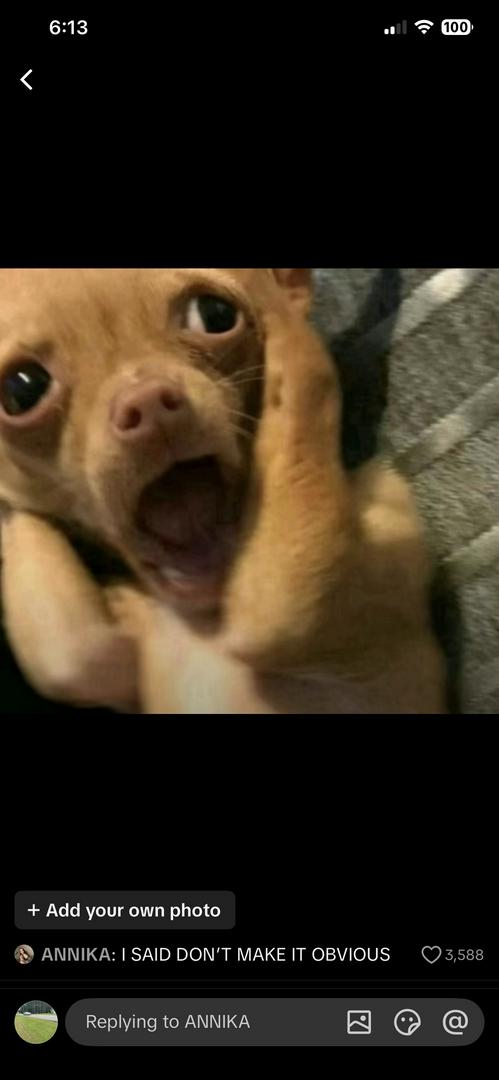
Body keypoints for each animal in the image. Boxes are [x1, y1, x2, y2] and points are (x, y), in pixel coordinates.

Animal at [0, 268, 447, 713]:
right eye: (22, 390)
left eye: (214, 315)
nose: (148, 402)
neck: (210, 618)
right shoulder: (107, 662)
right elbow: (79, 655)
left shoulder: (367, 533)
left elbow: (304, 385)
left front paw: (279, 313)